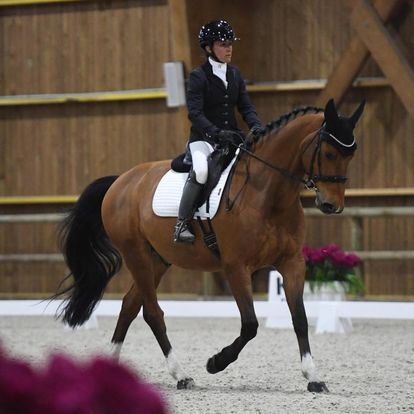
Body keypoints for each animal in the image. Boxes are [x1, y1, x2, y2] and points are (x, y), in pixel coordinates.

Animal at [55, 98, 366, 392]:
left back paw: (116, 368)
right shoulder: (236, 267)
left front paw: (314, 377)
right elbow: (250, 324)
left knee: (130, 306)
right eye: (328, 153)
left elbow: (299, 318)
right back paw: (181, 375)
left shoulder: (292, 263)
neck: (267, 194)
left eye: (351, 155)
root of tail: (120, 181)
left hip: (158, 259)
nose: (332, 205)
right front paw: (216, 362)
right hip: (136, 254)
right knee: (152, 312)